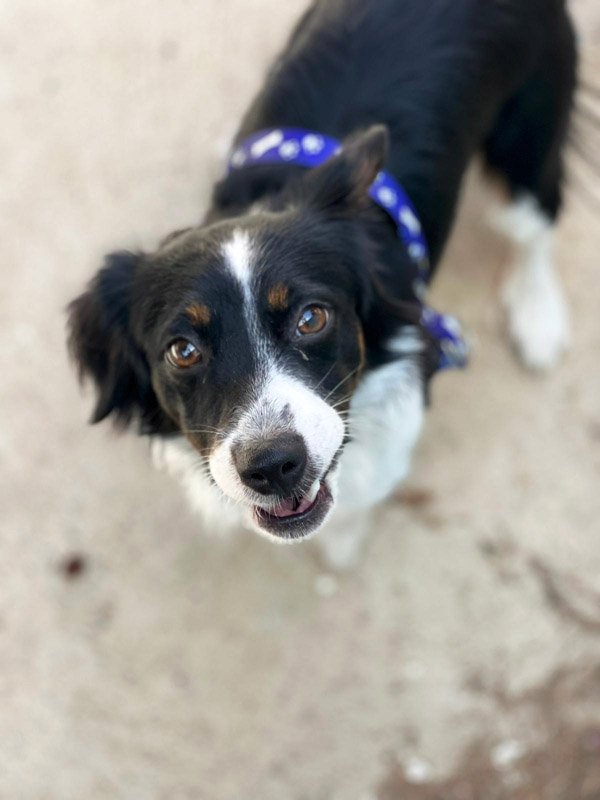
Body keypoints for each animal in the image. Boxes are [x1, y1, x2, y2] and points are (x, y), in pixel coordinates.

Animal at [68, 0, 577, 568]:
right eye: (182, 350)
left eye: (312, 317)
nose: (272, 466)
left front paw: (344, 543)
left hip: (528, 141)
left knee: (537, 221)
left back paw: (538, 316)